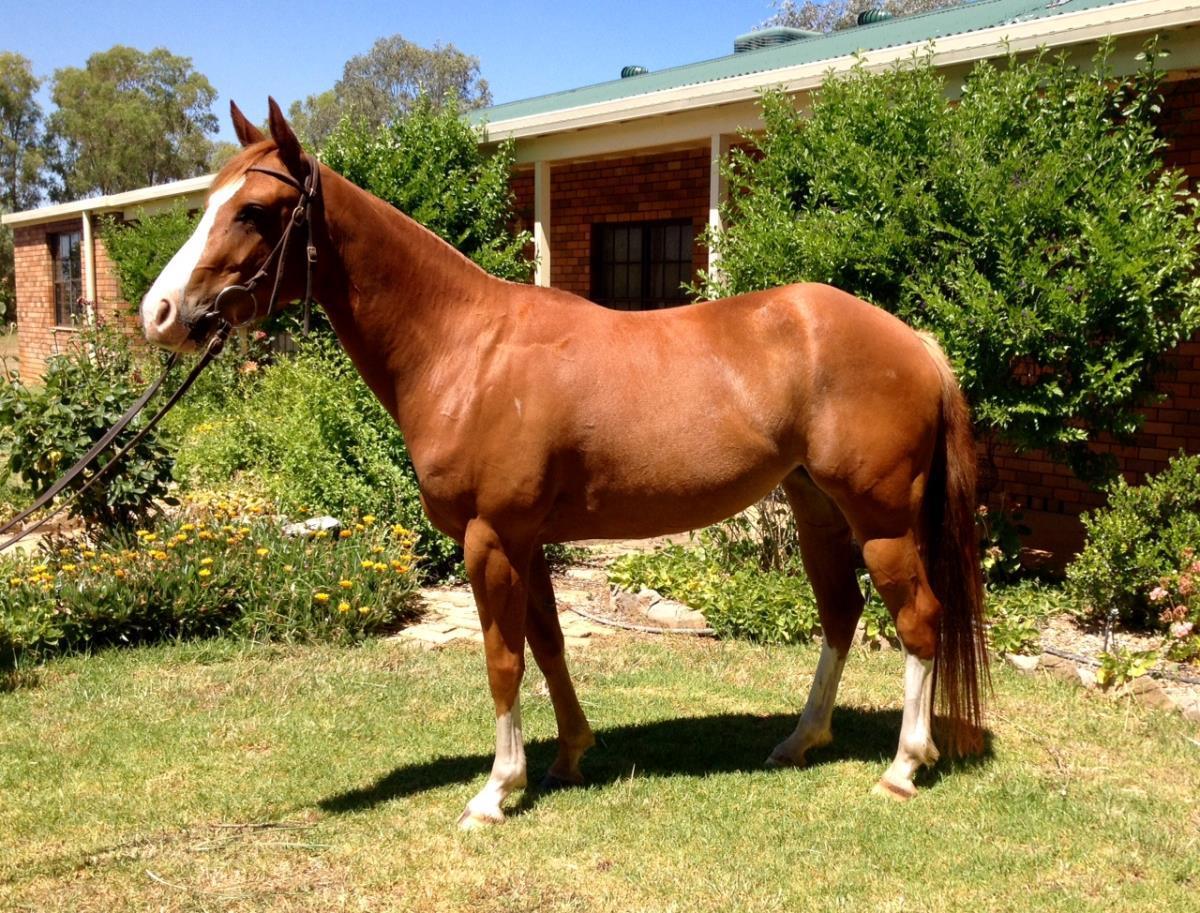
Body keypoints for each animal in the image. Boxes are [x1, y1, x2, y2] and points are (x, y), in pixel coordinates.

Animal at [140, 99, 987, 828]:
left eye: (254, 210)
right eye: (207, 201)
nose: (160, 314)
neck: (466, 348)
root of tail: (913, 341)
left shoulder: (489, 538)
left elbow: (502, 659)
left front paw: (494, 791)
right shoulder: (525, 541)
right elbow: (547, 646)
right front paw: (569, 756)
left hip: (881, 520)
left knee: (918, 621)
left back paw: (904, 765)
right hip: (816, 507)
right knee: (841, 614)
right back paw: (801, 740)